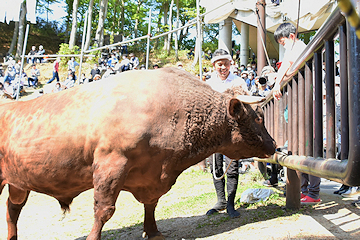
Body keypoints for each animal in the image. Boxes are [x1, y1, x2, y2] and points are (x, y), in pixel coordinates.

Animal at [0, 66, 276, 239]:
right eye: (259, 118)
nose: (274, 145)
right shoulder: (111, 165)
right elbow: (104, 209)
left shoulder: (152, 175)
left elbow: (151, 204)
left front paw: (153, 232)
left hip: (18, 183)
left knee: (13, 209)